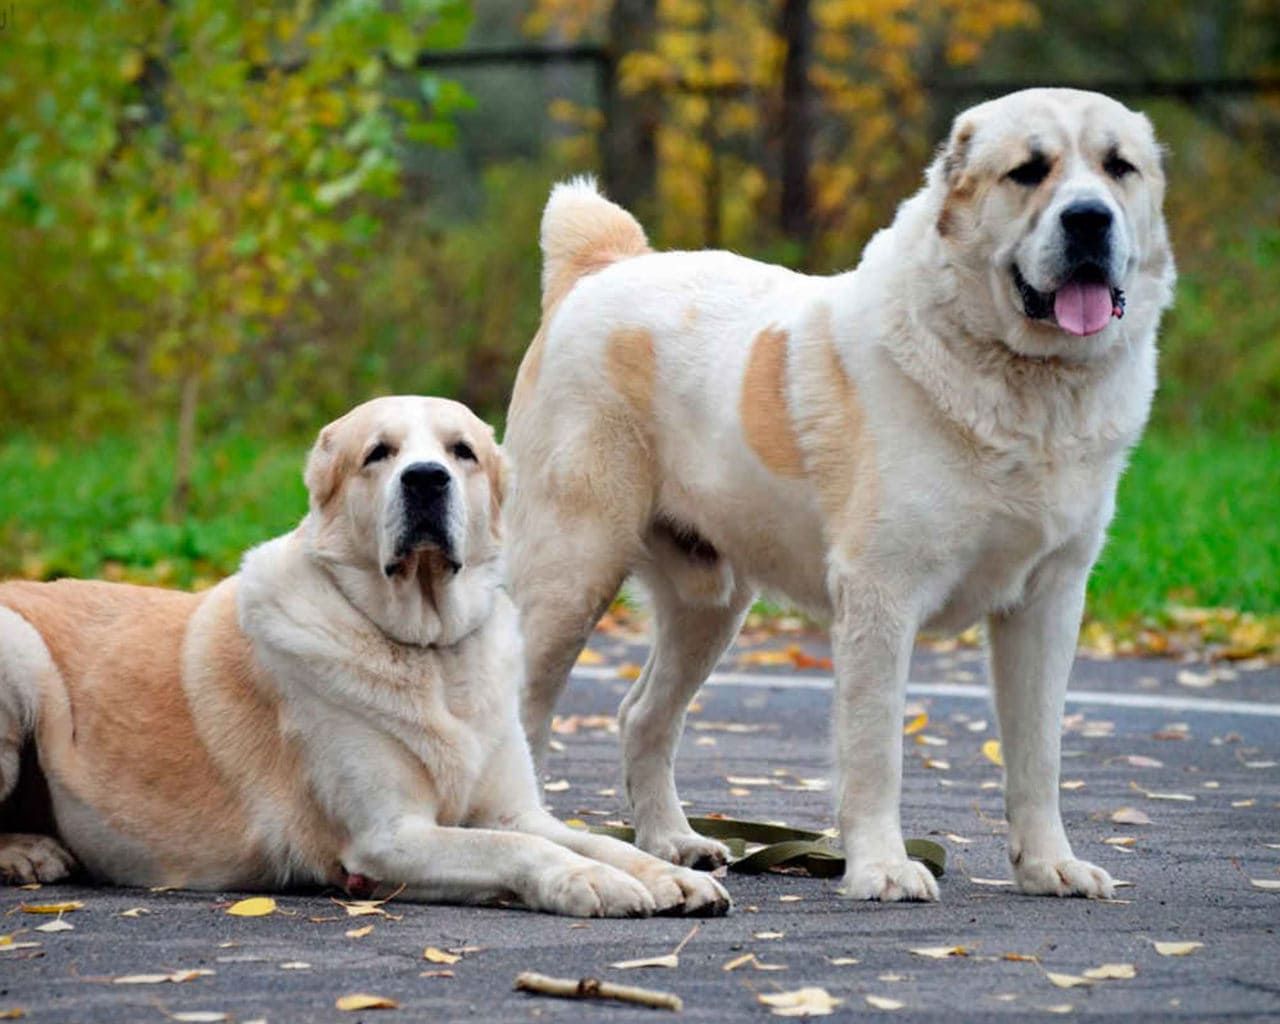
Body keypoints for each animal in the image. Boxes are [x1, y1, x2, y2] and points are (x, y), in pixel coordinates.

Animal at [0, 396, 732, 916]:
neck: (429, 650)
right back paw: (28, 853)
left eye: (462, 452)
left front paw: (667, 871)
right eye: (378, 453)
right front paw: (590, 881)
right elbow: (515, 847)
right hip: (21, 654)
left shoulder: (513, 809)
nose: (427, 479)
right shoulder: (389, 838)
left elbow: (585, 835)